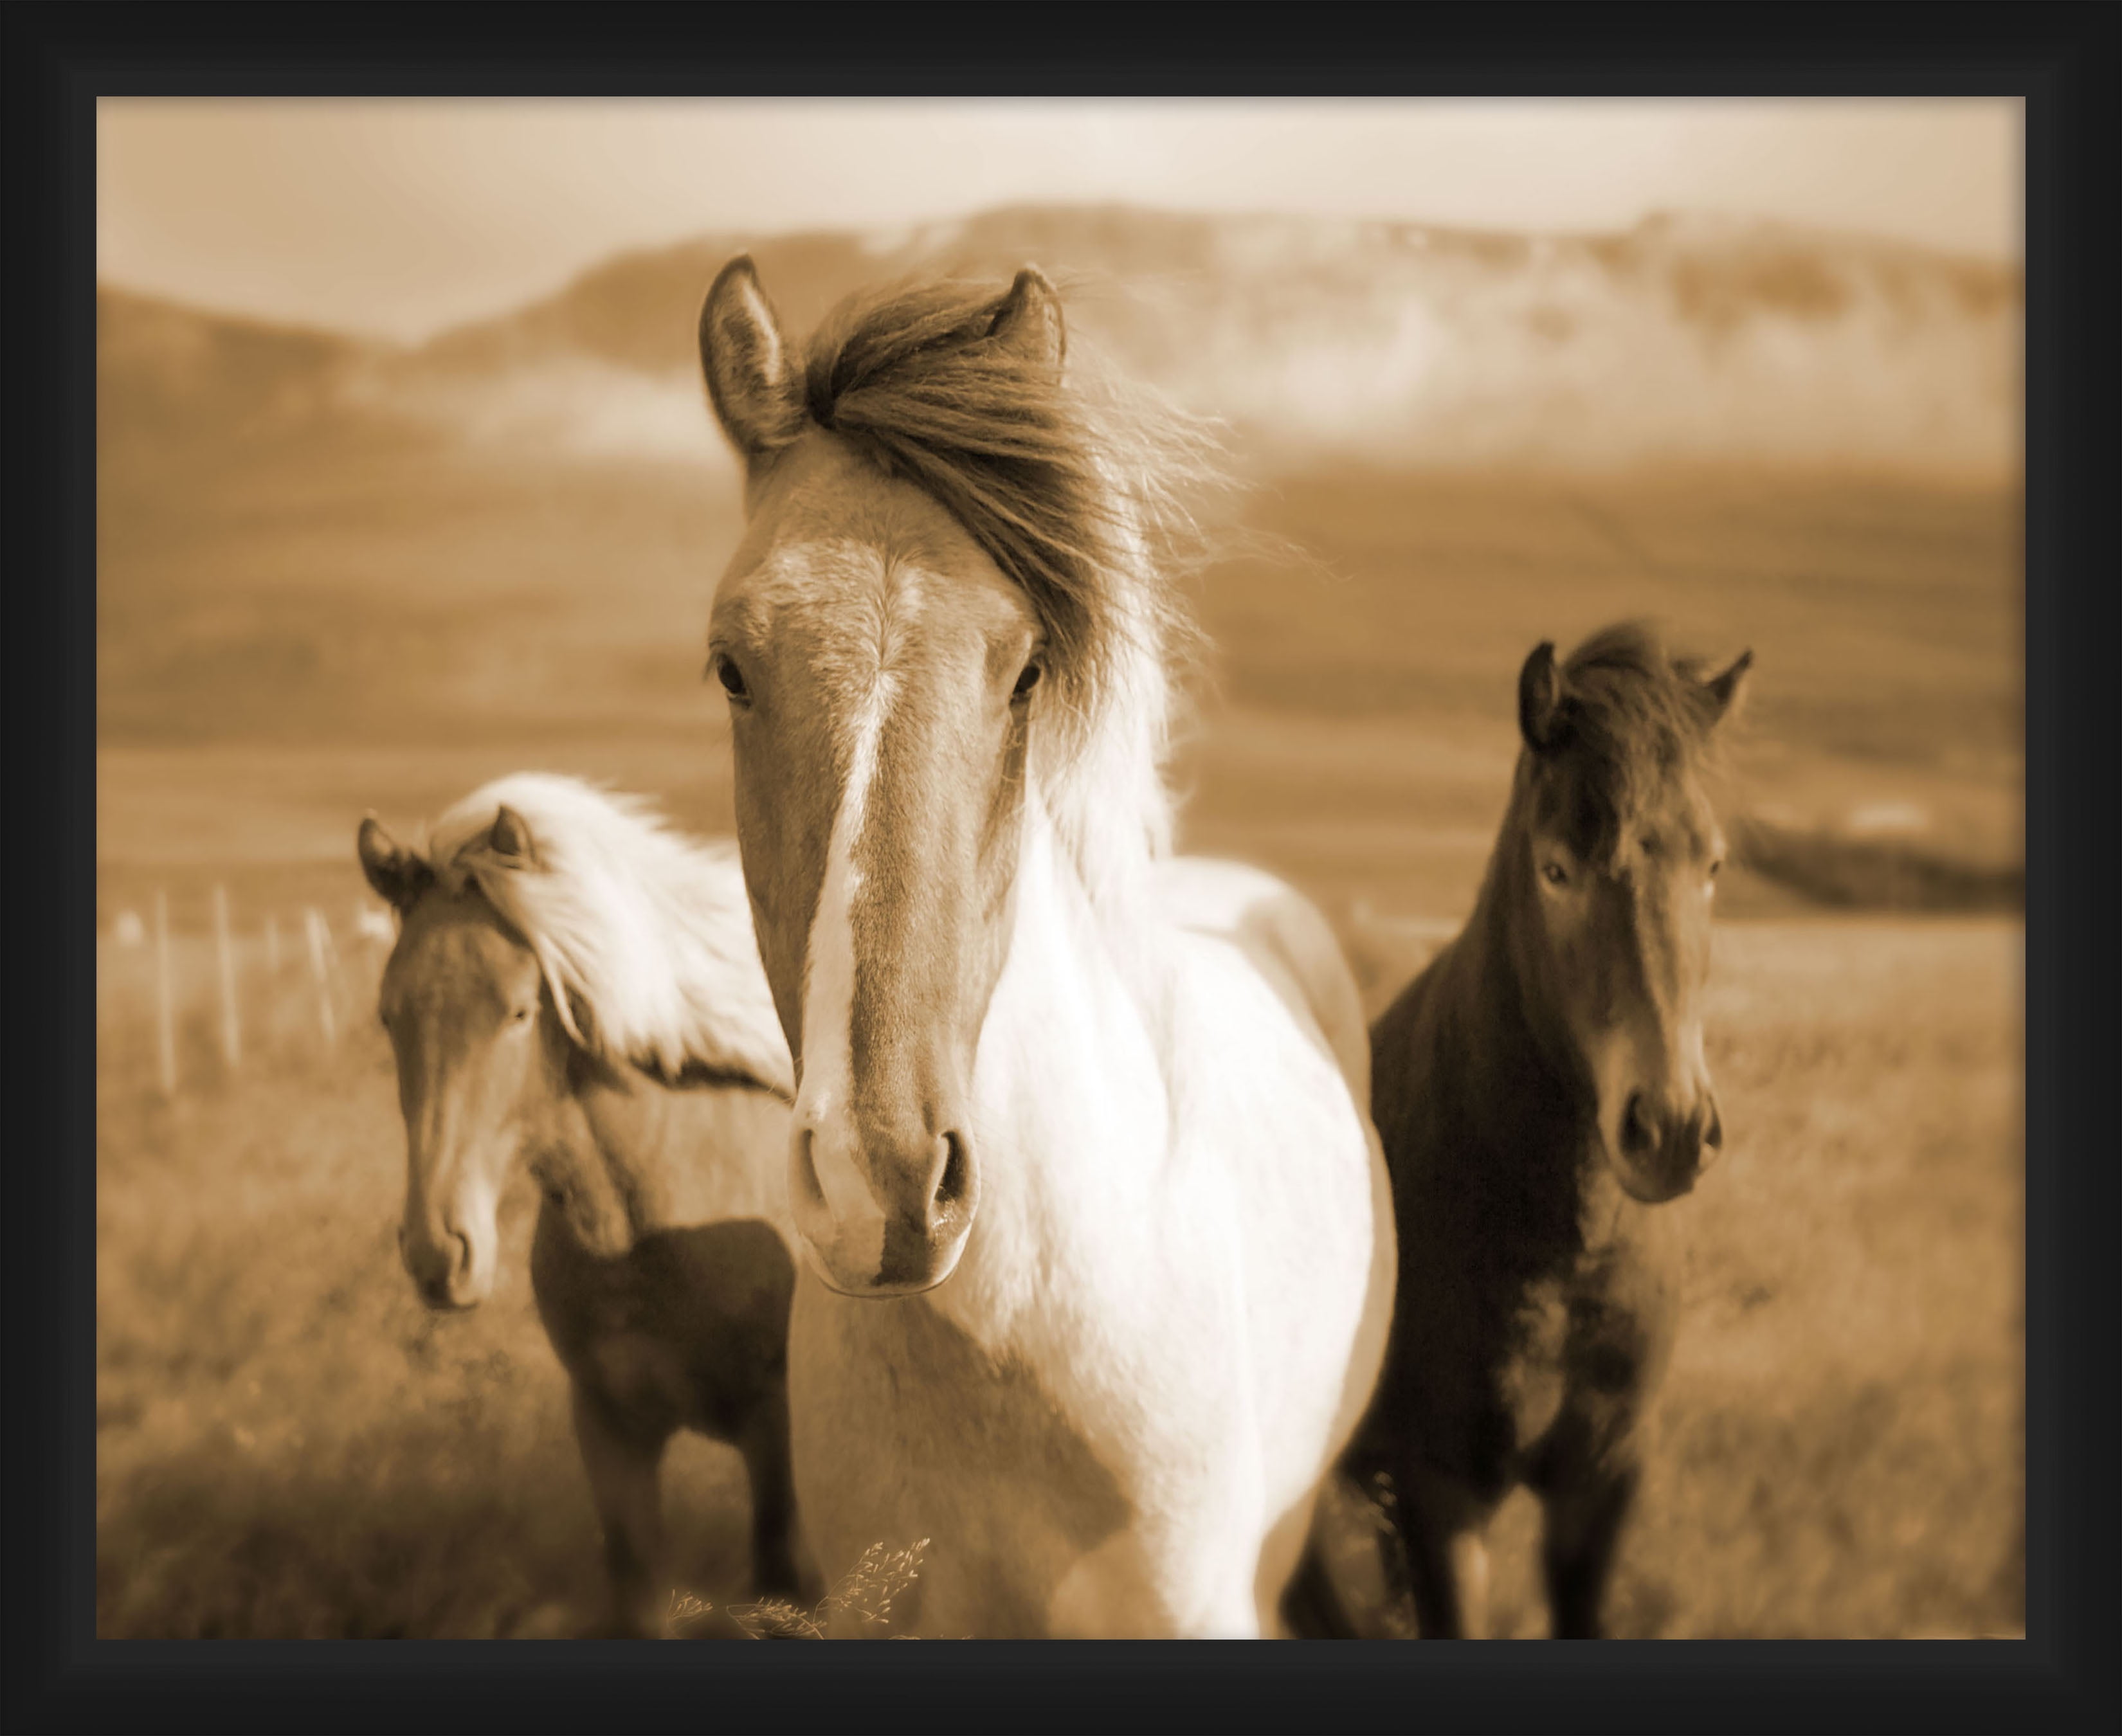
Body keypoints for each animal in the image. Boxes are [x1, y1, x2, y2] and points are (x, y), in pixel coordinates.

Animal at [356, 771, 810, 1638]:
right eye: (390, 1014)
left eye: (519, 1010)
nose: (438, 1253)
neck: (648, 1232)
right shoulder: (609, 1433)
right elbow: (638, 1589)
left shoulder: (776, 1434)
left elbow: (788, 1581)